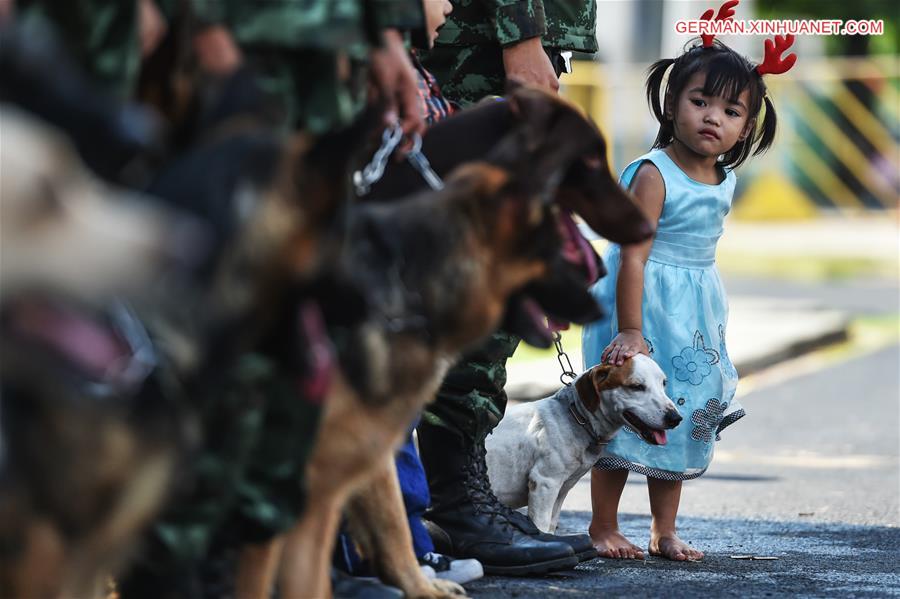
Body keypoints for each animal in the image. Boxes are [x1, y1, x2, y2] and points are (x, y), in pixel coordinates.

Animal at [488, 354, 680, 532]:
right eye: (636, 386)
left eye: (663, 383)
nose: (675, 418)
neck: (575, 416)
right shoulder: (544, 483)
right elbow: (541, 525)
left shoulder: (561, 490)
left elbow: (551, 525)